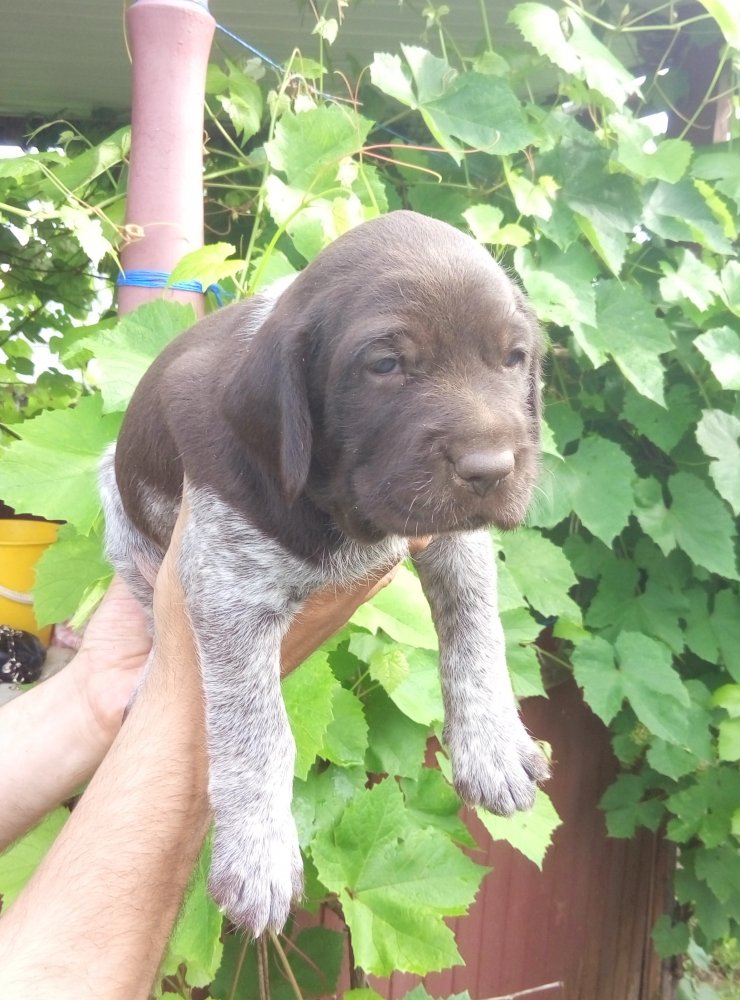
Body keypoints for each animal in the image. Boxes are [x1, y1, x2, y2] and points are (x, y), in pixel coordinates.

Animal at [99, 210, 550, 937]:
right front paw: (258, 849)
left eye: (513, 358)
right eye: (386, 365)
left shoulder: (453, 535)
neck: (344, 510)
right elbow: (257, 727)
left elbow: (477, 632)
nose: (490, 470)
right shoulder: (227, 586)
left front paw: (492, 743)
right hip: (118, 510)